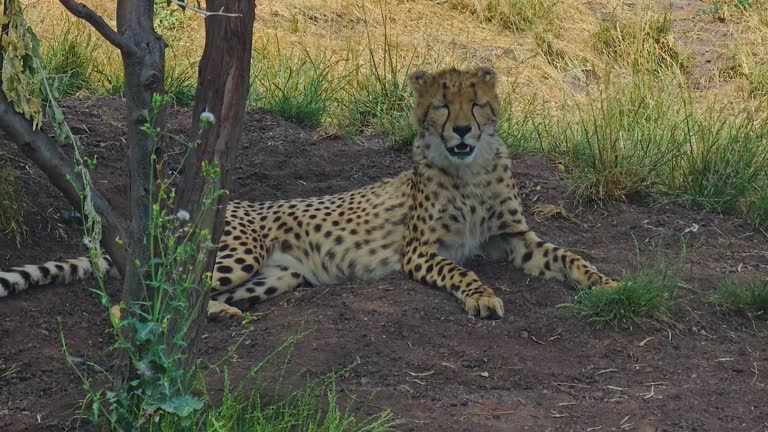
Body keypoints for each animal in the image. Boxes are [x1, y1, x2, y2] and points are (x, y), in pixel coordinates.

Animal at [0, 66, 616, 318]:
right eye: (442, 105)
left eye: (477, 104)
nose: (463, 130)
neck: (470, 168)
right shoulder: (421, 252)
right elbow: (462, 271)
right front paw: (482, 296)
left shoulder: (515, 238)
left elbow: (569, 256)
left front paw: (607, 284)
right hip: (235, 254)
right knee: (143, 296)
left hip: (279, 275)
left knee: (204, 298)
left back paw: (223, 316)